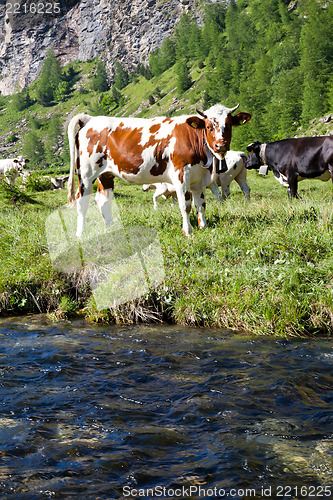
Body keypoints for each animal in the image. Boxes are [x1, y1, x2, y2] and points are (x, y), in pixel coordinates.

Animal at [67, 104, 249, 236]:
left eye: (229, 125)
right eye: (209, 126)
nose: (220, 145)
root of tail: (90, 119)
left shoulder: (199, 179)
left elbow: (201, 204)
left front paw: (202, 227)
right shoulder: (181, 176)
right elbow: (185, 205)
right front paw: (188, 231)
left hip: (105, 175)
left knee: (103, 200)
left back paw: (111, 229)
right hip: (86, 174)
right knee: (82, 201)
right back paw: (80, 234)